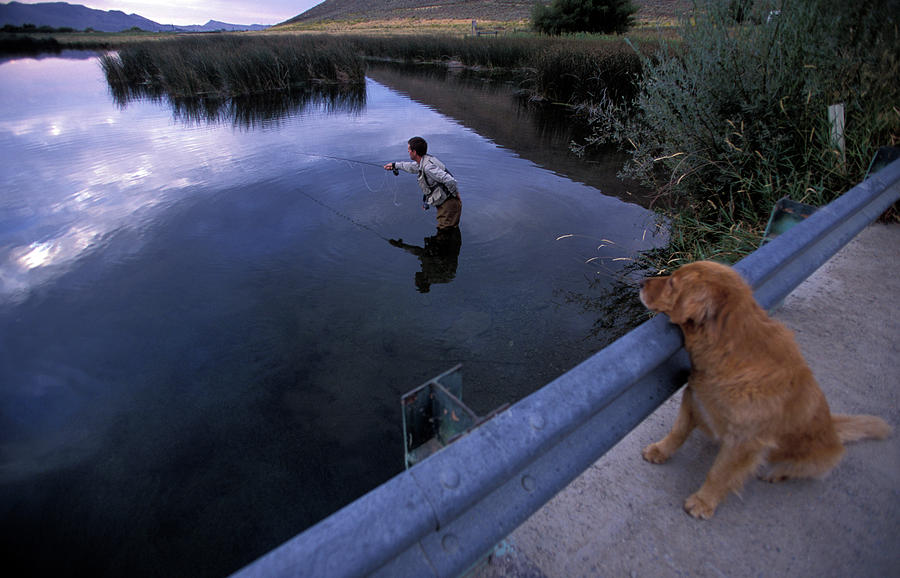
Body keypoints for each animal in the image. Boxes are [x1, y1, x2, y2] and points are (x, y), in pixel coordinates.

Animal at [640, 260, 892, 516]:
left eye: (672, 283)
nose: (642, 282)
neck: (731, 350)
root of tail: (832, 427)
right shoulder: (694, 398)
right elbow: (677, 432)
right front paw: (659, 451)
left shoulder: (745, 441)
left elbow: (719, 473)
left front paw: (703, 502)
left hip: (815, 460)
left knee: (795, 469)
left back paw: (775, 473)